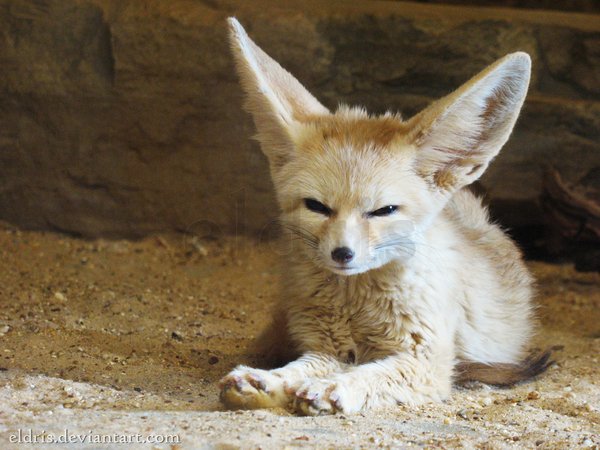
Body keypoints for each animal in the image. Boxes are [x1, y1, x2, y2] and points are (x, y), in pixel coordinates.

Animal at [219, 18, 548, 418]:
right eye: (317, 206)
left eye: (383, 210)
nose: (342, 254)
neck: (355, 304)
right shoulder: (324, 345)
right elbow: (302, 367)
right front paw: (267, 381)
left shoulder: (426, 360)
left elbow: (373, 373)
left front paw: (336, 387)